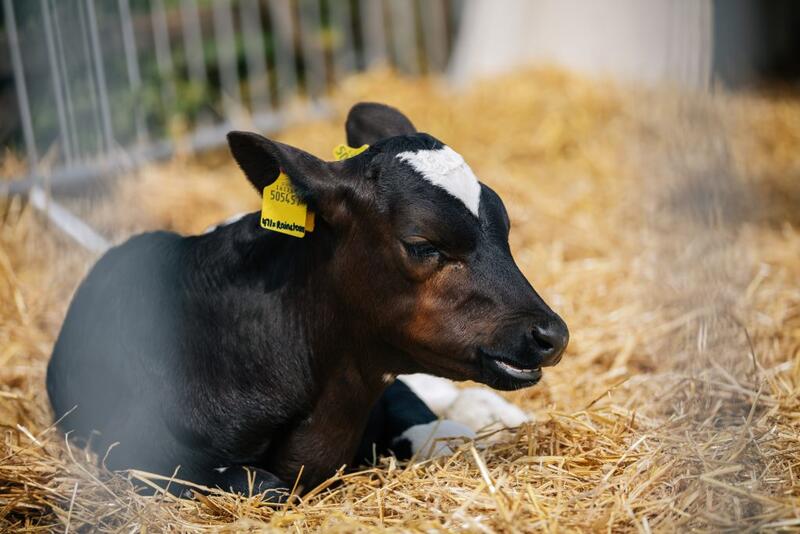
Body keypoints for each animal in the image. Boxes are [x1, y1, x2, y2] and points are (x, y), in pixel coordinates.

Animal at [46, 102, 568, 499]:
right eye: (422, 244)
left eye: (504, 226)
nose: (552, 334)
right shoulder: (146, 456)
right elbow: (265, 486)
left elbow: (448, 433)